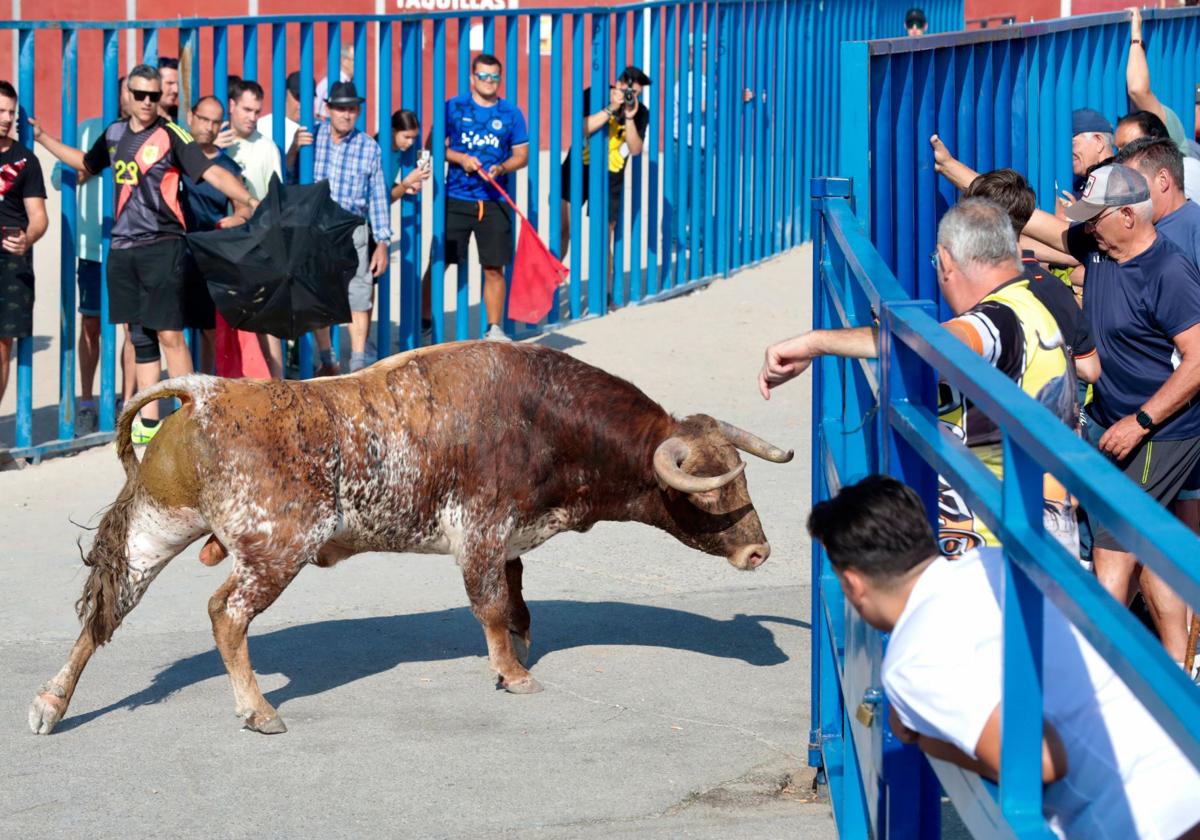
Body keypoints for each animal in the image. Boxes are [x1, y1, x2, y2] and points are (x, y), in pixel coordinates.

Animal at [28, 340, 792, 734]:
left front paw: (516, 655)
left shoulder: (509, 540)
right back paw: (258, 709)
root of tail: (209, 392)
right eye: (712, 489)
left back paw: (50, 705)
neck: (543, 415)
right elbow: (490, 607)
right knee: (225, 614)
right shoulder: (480, 530)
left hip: (156, 528)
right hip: (275, 551)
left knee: (104, 612)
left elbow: (517, 603)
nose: (759, 550)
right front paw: (514, 675)